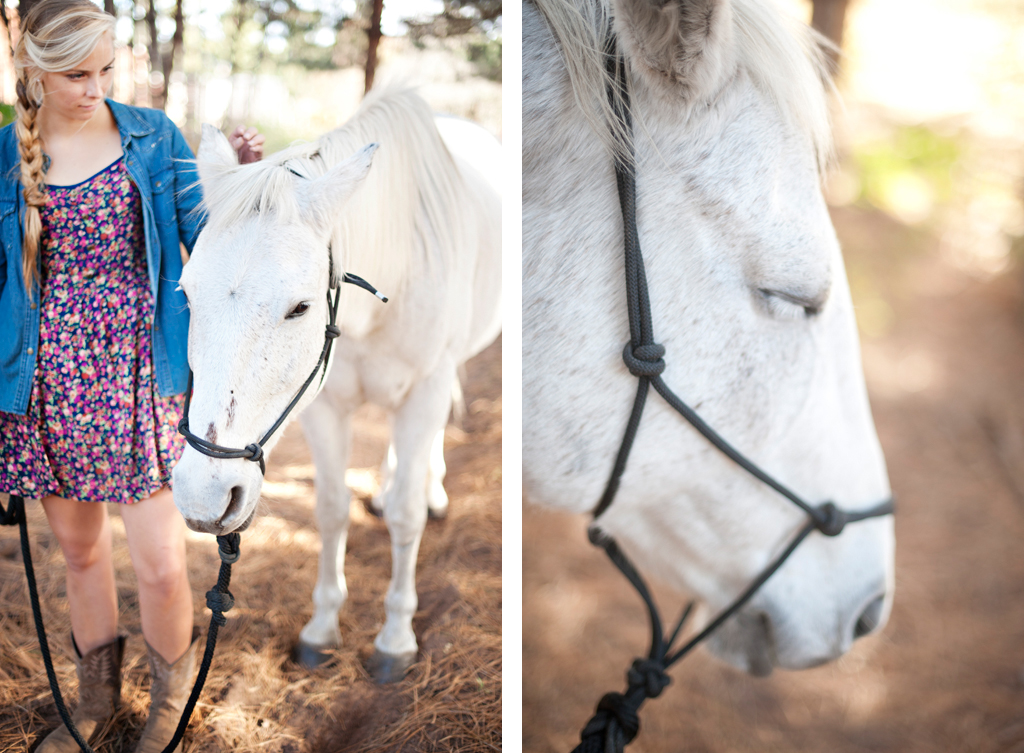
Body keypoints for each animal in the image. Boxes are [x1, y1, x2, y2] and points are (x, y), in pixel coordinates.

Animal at [173, 88, 503, 684]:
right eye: (186, 294)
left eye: (300, 307)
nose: (202, 494)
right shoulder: (322, 406)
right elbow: (330, 509)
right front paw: (322, 629)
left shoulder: (426, 389)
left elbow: (407, 516)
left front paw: (396, 639)